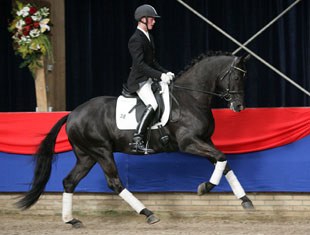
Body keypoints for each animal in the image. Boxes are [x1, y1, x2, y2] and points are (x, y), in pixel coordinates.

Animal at [15, 51, 254, 228]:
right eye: (236, 77)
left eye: (244, 77)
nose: (239, 106)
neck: (191, 98)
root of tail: (72, 114)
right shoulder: (189, 143)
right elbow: (222, 158)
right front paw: (205, 187)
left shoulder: (205, 141)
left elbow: (224, 163)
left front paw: (245, 200)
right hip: (101, 151)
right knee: (114, 182)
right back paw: (148, 213)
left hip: (86, 155)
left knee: (69, 181)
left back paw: (71, 220)